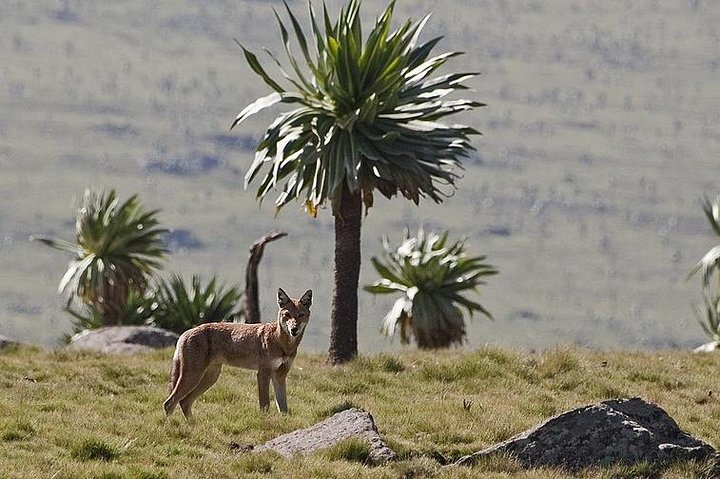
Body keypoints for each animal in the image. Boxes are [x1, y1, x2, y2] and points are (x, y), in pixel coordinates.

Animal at [163, 288, 312, 420]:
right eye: (287, 315)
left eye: (300, 315)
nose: (294, 329)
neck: (283, 344)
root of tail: (186, 332)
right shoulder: (263, 373)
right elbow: (265, 405)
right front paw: (265, 421)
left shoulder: (280, 376)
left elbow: (283, 407)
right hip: (194, 376)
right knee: (170, 403)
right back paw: (171, 426)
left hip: (210, 378)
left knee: (184, 402)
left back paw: (193, 426)